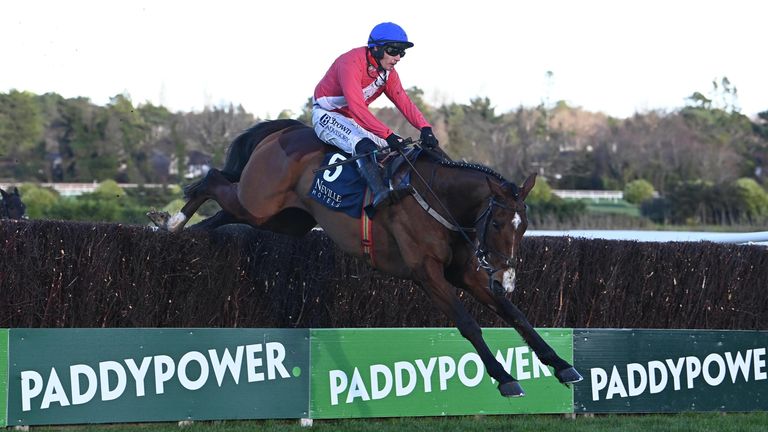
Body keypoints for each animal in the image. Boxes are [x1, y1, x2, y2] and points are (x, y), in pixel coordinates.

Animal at [148, 119, 584, 398]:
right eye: (496, 222)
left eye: (523, 226)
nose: (505, 276)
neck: (438, 199)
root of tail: (285, 129)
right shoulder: (426, 273)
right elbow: (468, 324)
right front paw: (504, 377)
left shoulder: (467, 273)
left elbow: (516, 315)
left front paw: (562, 364)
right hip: (259, 201)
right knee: (212, 180)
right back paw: (171, 220)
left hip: (282, 219)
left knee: (226, 210)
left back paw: (186, 230)